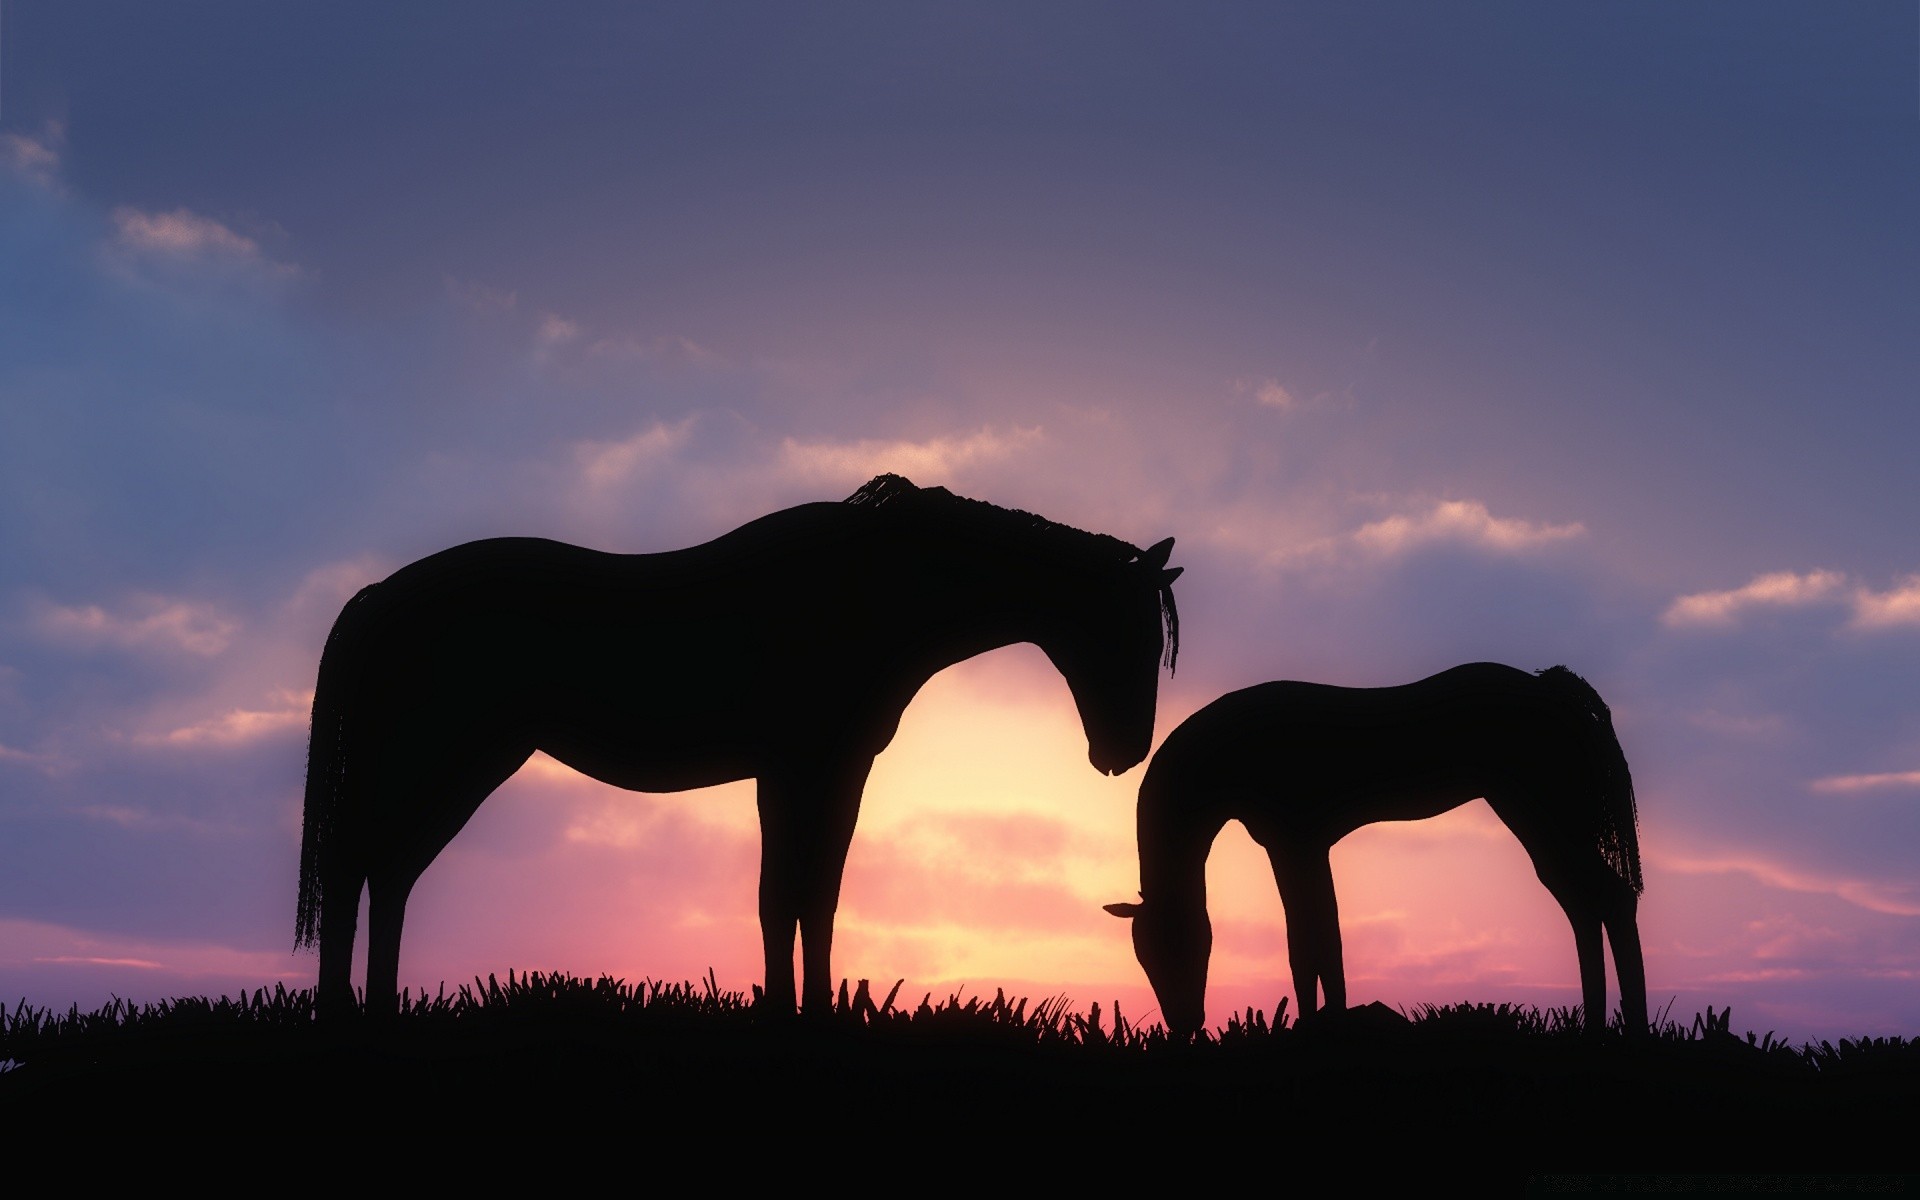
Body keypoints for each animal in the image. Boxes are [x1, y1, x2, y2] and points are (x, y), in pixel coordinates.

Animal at [295, 472, 1182, 1013]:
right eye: (1133, 631)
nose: (1123, 753)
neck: (874, 592)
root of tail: (379, 595)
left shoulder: (800, 772)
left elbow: (797, 895)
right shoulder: (815, 767)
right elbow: (798, 894)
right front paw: (804, 1013)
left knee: (384, 874)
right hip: (447, 761)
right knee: (364, 869)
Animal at [1105, 660, 1643, 1036]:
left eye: (1180, 945)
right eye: (1143, 957)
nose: (1183, 1025)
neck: (1235, 751)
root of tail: (1554, 689)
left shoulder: (1296, 843)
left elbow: (1312, 941)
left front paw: (1322, 1023)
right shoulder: (1301, 847)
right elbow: (1316, 939)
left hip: (1543, 817)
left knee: (1608, 900)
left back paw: (1632, 1026)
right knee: (1584, 905)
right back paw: (1597, 1024)